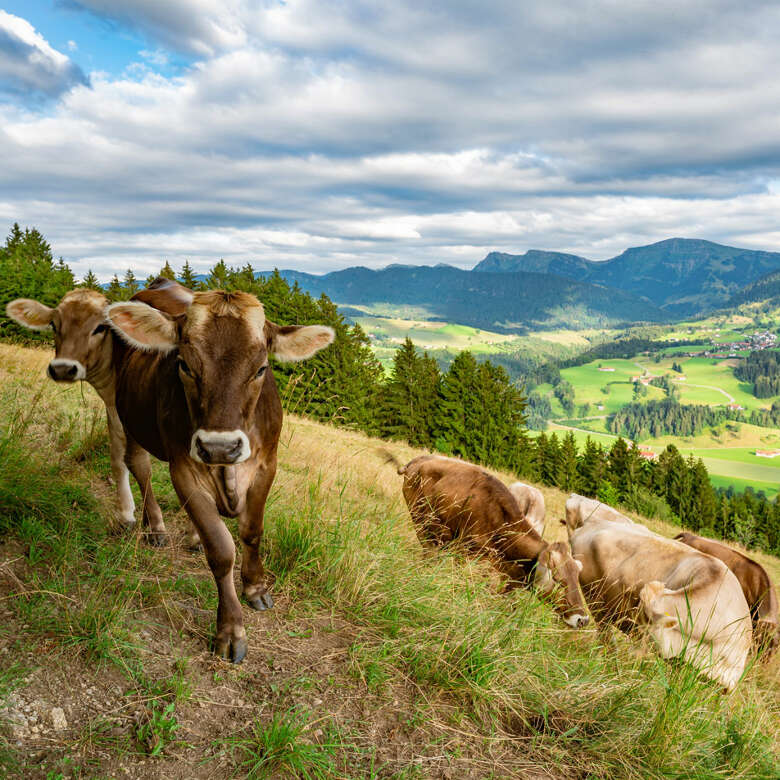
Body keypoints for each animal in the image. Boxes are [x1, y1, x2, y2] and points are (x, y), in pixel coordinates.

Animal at [5, 278, 193, 544]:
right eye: (54, 324)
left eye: (101, 328)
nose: (63, 368)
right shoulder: (113, 407)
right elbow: (118, 459)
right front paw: (128, 514)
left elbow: (132, 461)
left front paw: (149, 523)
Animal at [106, 286, 332, 660]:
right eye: (184, 364)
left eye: (261, 369)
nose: (219, 448)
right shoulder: (183, 469)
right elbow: (221, 549)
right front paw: (230, 629)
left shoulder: (267, 464)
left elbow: (252, 532)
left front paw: (255, 587)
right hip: (128, 418)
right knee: (139, 467)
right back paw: (156, 527)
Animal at [390, 454, 592, 632]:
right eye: (558, 580)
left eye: (576, 578)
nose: (582, 619)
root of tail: (419, 459)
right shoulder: (467, 560)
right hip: (421, 521)